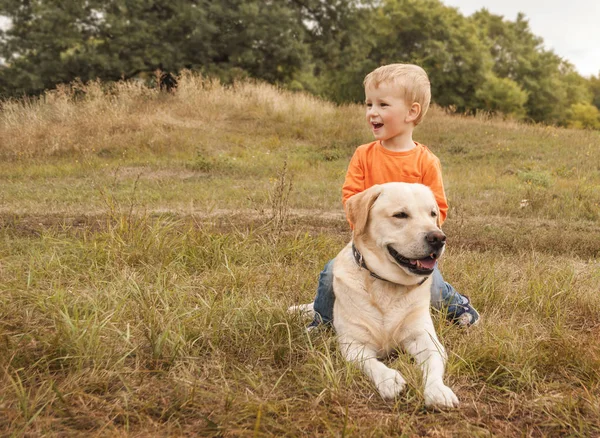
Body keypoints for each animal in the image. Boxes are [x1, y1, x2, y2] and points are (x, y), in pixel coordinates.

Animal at [292, 183, 458, 408]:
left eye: (433, 214)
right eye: (400, 215)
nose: (438, 238)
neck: (387, 284)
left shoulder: (425, 337)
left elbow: (434, 361)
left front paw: (438, 390)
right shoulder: (353, 344)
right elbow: (370, 362)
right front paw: (389, 379)